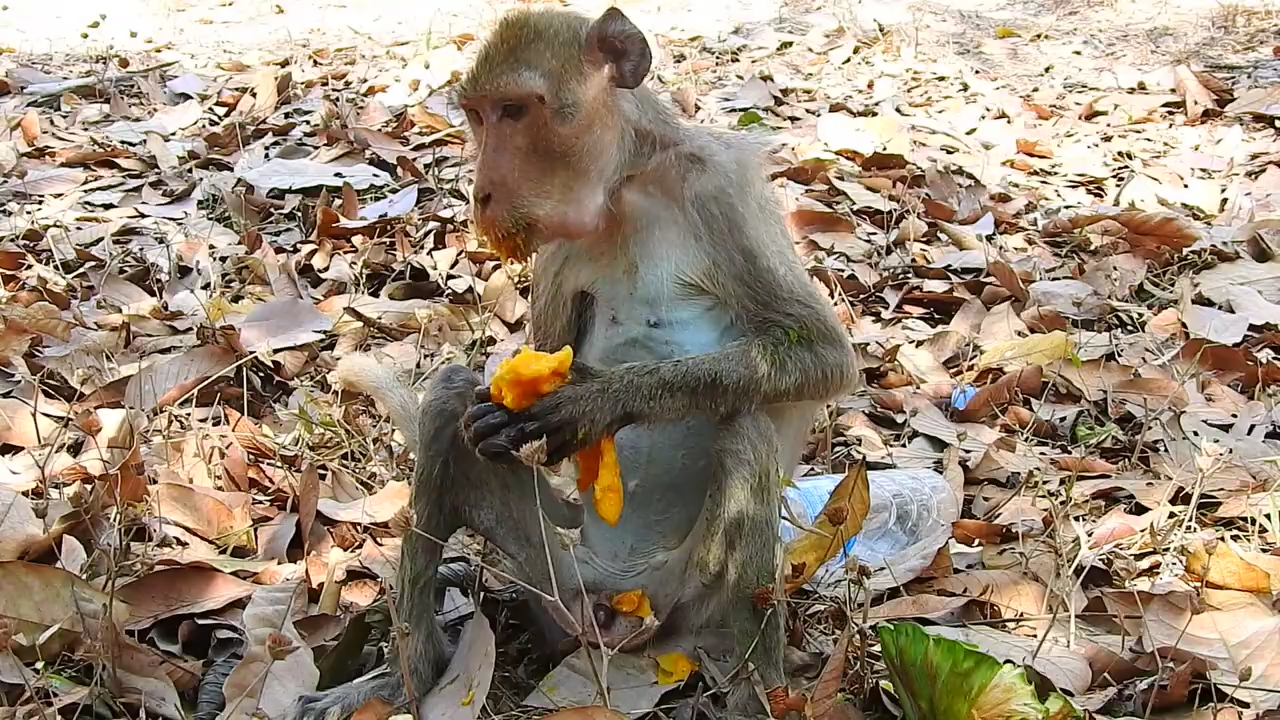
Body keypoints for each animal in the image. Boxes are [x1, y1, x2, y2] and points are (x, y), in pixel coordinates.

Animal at [293, 7, 855, 717]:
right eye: (477, 116)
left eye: (514, 111)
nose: (481, 193)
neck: (625, 189)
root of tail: (614, 606)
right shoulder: (558, 247)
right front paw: (500, 415)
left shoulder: (718, 189)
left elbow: (822, 356)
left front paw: (593, 400)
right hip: (556, 574)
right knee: (447, 399)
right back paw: (408, 677)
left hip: (686, 599)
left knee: (744, 428)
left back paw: (757, 691)